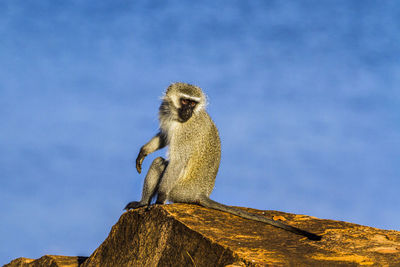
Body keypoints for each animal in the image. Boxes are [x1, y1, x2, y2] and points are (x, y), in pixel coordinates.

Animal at [125, 82, 322, 242]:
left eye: (193, 103)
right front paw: (143, 152)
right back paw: (142, 203)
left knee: (161, 164)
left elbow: (178, 161)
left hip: (180, 191)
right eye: (185, 101)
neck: (178, 117)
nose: (188, 111)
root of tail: (201, 193)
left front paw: (160, 199)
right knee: (159, 163)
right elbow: (164, 137)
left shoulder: (187, 132)